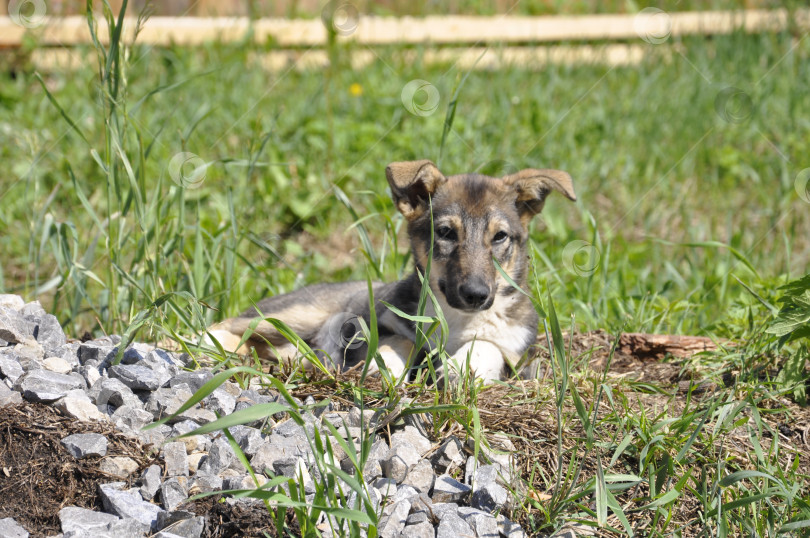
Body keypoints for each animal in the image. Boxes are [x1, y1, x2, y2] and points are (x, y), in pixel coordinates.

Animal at [208, 159, 576, 382]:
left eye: (499, 237)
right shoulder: (383, 322)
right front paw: (382, 365)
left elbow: (488, 345)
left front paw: (461, 366)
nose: (475, 295)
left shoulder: (518, 356)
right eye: (446, 232)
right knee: (225, 324)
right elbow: (400, 340)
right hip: (299, 314)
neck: (456, 319)